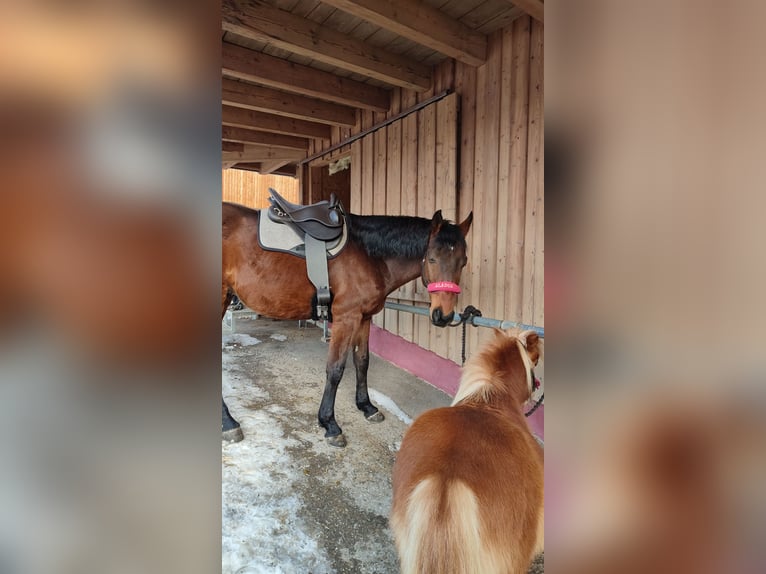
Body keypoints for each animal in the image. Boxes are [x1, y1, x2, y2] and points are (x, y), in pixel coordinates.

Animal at [222, 204, 474, 450]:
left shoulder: (363, 318)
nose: (443, 315)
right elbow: (335, 369)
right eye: (431, 259)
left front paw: (367, 406)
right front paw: (330, 424)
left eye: (463, 262)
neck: (369, 255)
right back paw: (229, 424)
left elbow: (362, 361)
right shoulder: (346, 319)